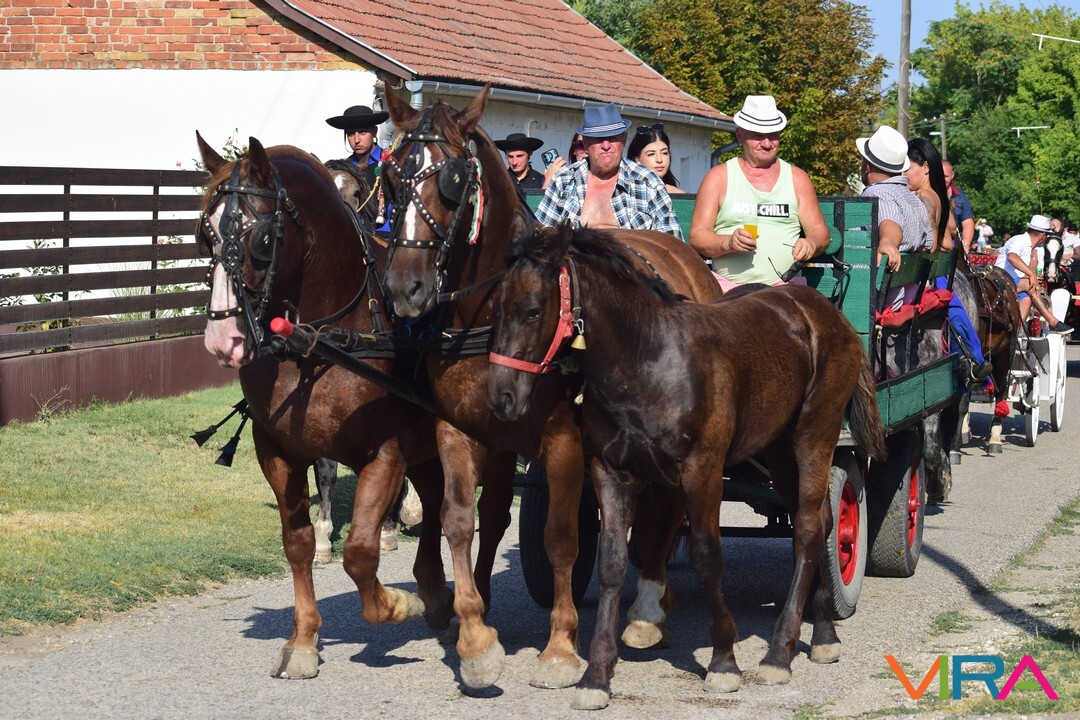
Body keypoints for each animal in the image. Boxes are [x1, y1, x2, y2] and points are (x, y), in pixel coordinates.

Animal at [195, 133, 456, 679]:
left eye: (260, 238)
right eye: (205, 234)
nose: (223, 340)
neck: (319, 339)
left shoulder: (386, 453)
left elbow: (360, 551)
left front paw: (396, 603)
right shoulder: (278, 450)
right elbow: (295, 542)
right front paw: (303, 640)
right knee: (436, 501)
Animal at [379, 84, 723, 689]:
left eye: (453, 180)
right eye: (395, 176)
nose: (405, 288)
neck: (493, 313)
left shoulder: (564, 441)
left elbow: (561, 537)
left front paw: (561, 647)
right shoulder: (460, 431)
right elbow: (461, 522)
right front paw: (475, 639)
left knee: (667, 504)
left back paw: (648, 610)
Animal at [486, 224, 886, 710]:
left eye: (531, 311)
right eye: (495, 310)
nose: (501, 395)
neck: (648, 361)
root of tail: (824, 311)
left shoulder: (702, 471)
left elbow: (707, 556)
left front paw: (724, 662)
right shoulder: (611, 472)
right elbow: (611, 563)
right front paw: (596, 675)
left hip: (816, 432)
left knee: (810, 528)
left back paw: (779, 652)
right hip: (778, 449)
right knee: (821, 520)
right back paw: (825, 633)